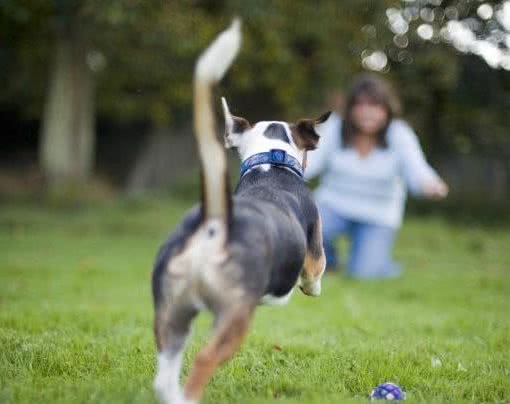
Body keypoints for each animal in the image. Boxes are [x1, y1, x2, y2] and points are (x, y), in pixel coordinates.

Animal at [151, 19, 328, 404]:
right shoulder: (314, 251)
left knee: (165, 374)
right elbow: (315, 273)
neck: (271, 164)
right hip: (233, 317)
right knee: (203, 361)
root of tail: (215, 224)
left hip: (171, 314)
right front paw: (310, 288)